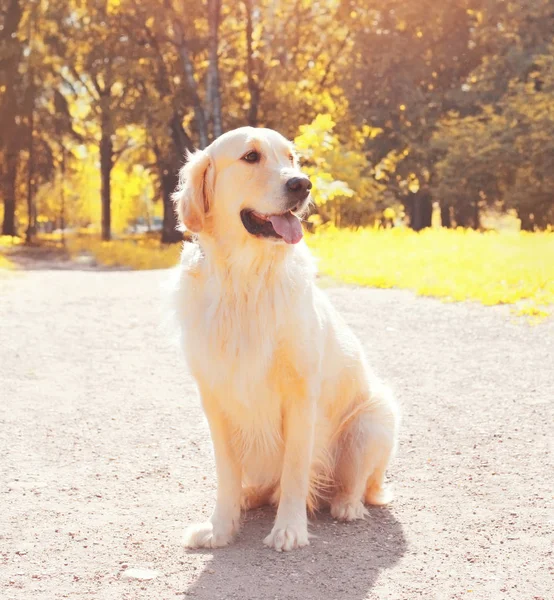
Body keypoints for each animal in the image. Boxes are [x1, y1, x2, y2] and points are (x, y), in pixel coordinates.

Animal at [171, 126, 396, 552]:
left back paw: (347, 505)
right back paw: (248, 497)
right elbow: (226, 473)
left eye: (291, 158)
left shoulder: (300, 395)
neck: (244, 279)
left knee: (358, 483)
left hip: (374, 419)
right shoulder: (214, 398)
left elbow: (294, 469)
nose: (302, 184)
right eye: (250, 157)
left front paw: (289, 529)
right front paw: (220, 527)